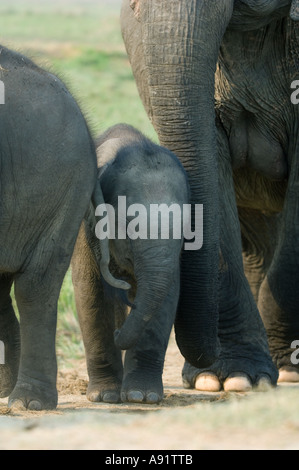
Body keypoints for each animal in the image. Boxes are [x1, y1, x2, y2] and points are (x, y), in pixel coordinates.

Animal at [72, 123, 191, 402]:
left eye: (186, 228)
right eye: (129, 227)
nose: (118, 334)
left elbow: (167, 294)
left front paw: (141, 396)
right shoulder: (85, 228)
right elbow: (89, 290)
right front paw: (104, 396)